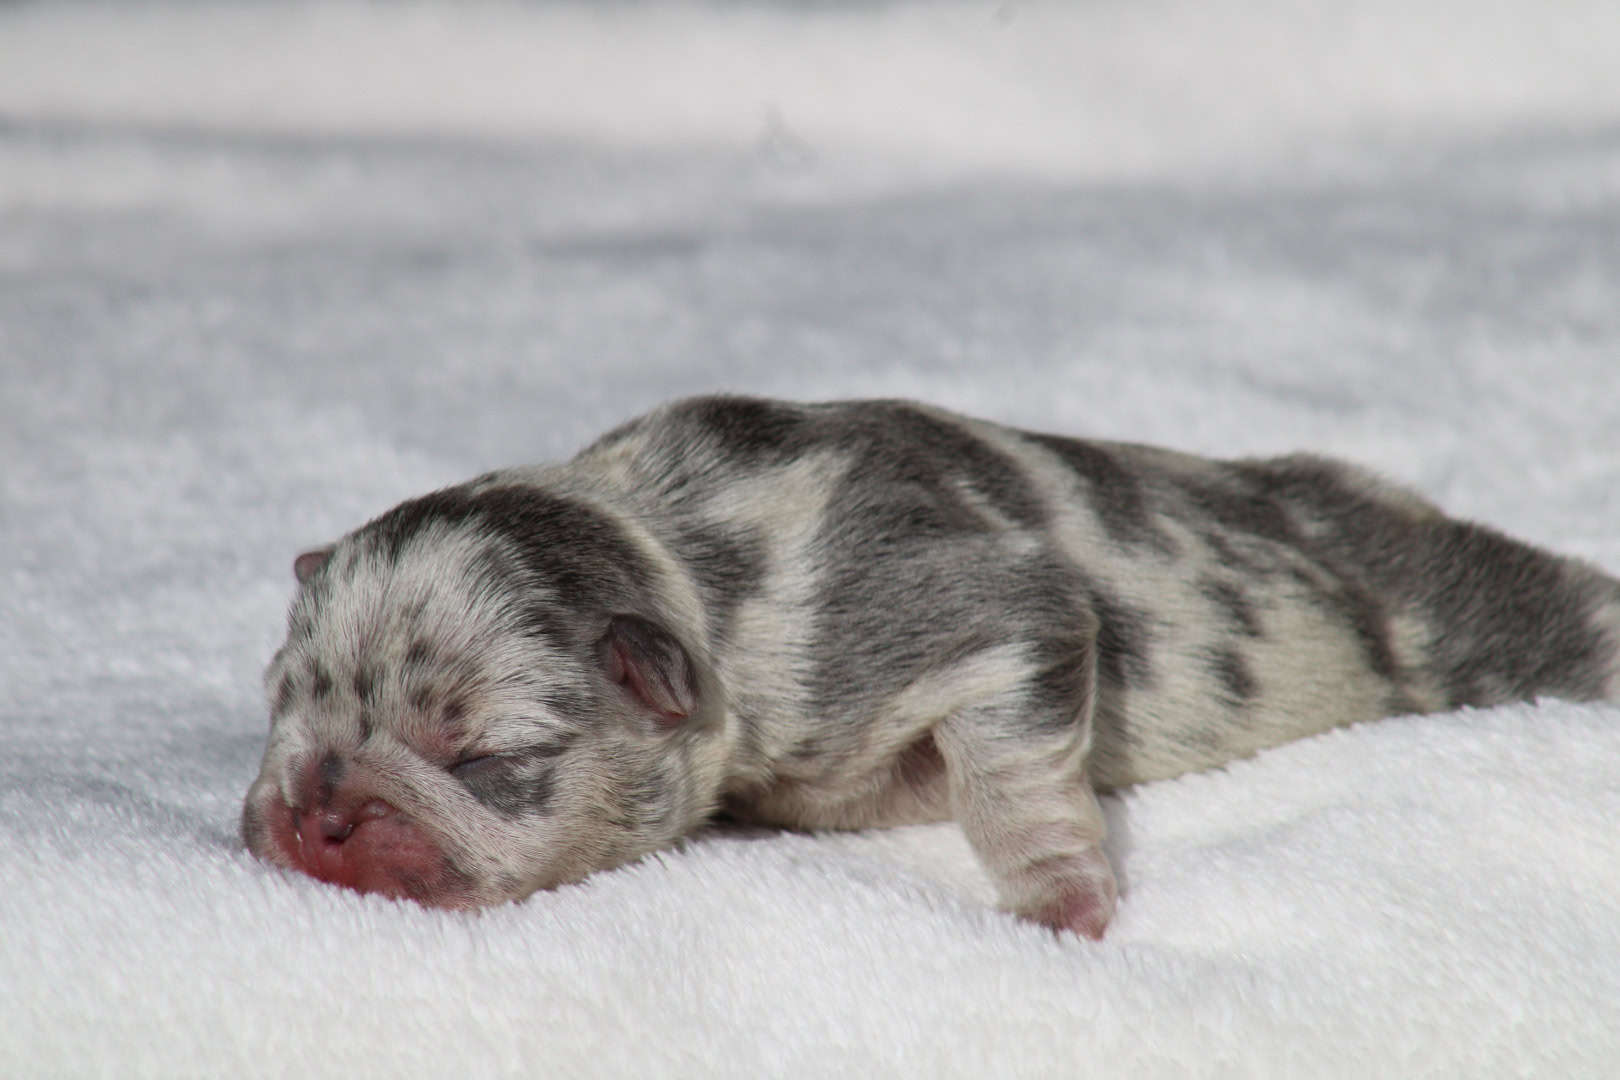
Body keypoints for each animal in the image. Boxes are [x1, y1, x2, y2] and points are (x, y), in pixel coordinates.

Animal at [239, 395, 1620, 939]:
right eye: (283, 717)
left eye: (481, 755)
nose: (317, 813)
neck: (681, 550)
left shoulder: (979, 614)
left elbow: (1013, 762)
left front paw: (1059, 899)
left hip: (1469, 618)